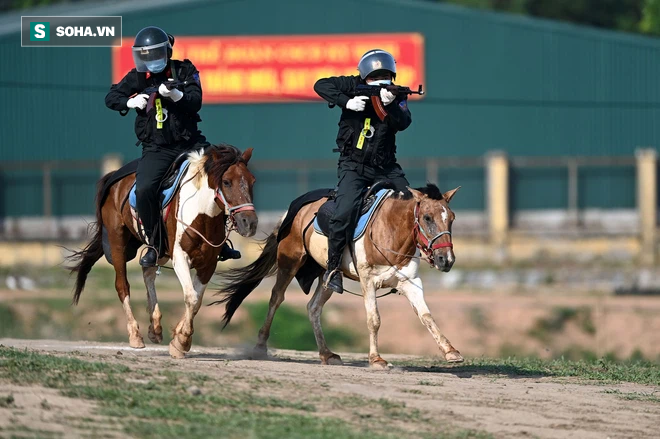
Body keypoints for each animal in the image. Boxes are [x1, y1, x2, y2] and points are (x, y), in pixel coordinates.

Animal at [67, 146, 256, 360]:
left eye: (252, 181)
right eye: (226, 182)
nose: (250, 223)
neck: (201, 213)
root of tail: (114, 175)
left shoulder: (209, 263)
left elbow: (197, 300)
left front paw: (179, 338)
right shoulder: (180, 258)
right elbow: (191, 297)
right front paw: (182, 341)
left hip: (159, 249)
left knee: (148, 271)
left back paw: (155, 327)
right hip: (117, 243)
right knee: (122, 285)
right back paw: (135, 335)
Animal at [214, 184, 462, 370]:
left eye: (451, 217)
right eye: (427, 217)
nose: (446, 259)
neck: (390, 231)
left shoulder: (410, 282)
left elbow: (426, 315)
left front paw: (451, 351)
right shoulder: (368, 281)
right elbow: (374, 319)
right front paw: (377, 360)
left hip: (328, 278)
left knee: (313, 307)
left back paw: (327, 354)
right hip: (290, 263)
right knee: (276, 298)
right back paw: (260, 347)